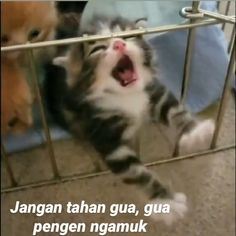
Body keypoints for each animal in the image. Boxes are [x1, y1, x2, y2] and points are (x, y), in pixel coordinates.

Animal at [44, 16, 216, 225]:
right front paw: (166, 202)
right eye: (97, 49)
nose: (119, 44)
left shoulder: (153, 90)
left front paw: (194, 132)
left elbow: (174, 110)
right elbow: (136, 172)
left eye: (127, 35)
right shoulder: (105, 135)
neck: (126, 96)